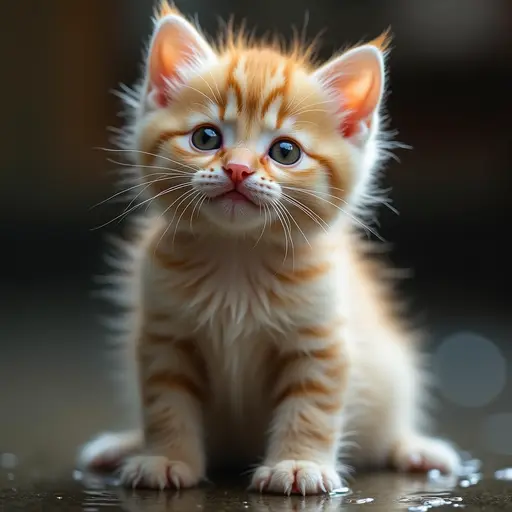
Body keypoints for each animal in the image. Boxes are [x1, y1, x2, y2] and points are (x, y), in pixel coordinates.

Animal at [79, 1, 460, 496]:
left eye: (285, 151)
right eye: (206, 138)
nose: (238, 169)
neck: (238, 256)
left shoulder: (320, 342)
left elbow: (311, 408)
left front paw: (297, 464)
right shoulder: (164, 337)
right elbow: (166, 403)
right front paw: (166, 457)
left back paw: (414, 450)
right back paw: (123, 445)